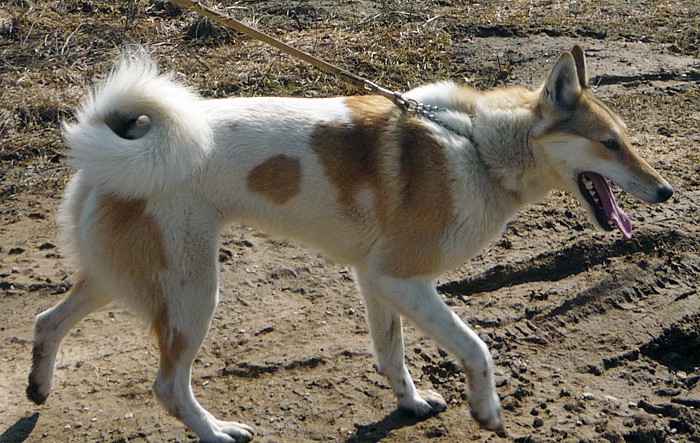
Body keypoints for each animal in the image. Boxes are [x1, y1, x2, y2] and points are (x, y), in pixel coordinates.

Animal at [27, 45, 673, 442]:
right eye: (609, 144)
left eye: (626, 140)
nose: (666, 190)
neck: (478, 146)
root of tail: (107, 152)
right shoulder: (403, 280)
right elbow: (476, 349)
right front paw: (486, 410)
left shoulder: (376, 280)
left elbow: (391, 353)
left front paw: (410, 404)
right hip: (193, 293)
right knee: (166, 384)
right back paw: (215, 432)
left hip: (121, 279)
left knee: (47, 321)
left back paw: (37, 387)